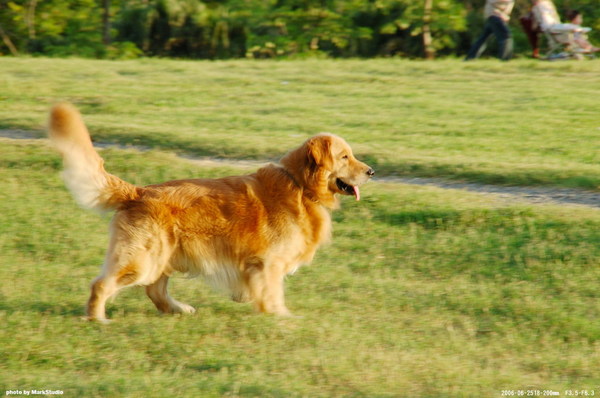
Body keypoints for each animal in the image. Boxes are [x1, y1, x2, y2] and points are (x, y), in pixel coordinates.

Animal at [48, 102, 376, 320]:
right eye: (345, 157)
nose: (372, 172)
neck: (300, 185)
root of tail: (138, 191)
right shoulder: (268, 263)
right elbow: (273, 294)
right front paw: (283, 319)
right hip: (143, 259)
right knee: (102, 284)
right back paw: (97, 318)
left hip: (164, 257)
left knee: (156, 291)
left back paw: (178, 309)